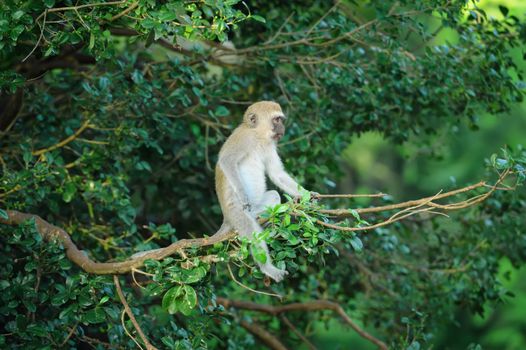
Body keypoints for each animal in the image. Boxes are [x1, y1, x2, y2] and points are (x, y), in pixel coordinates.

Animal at [216, 100, 316, 282]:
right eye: (277, 120)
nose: (282, 127)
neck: (258, 136)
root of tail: (226, 219)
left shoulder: (270, 146)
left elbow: (277, 174)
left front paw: (307, 195)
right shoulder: (244, 138)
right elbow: (227, 160)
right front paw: (243, 194)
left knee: (274, 197)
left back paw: (263, 222)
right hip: (235, 213)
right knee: (250, 228)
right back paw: (268, 268)